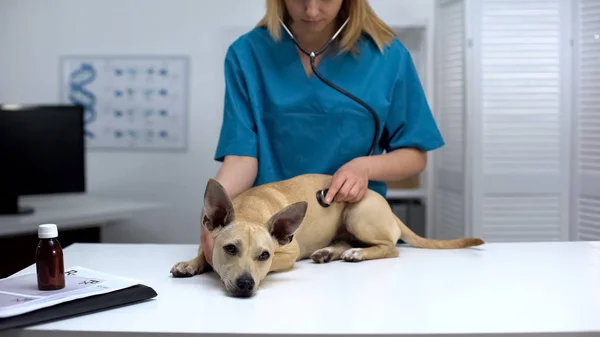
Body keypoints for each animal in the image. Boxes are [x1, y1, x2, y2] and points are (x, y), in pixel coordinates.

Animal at [169, 173, 482, 296]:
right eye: (230, 249)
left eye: (265, 255)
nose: (246, 284)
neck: (251, 210)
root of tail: (388, 208)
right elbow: (203, 254)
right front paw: (190, 264)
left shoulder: (288, 252)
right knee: (343, 242)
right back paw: (328, 252)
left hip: (357, 214)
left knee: (391, 248)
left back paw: (358, 253)